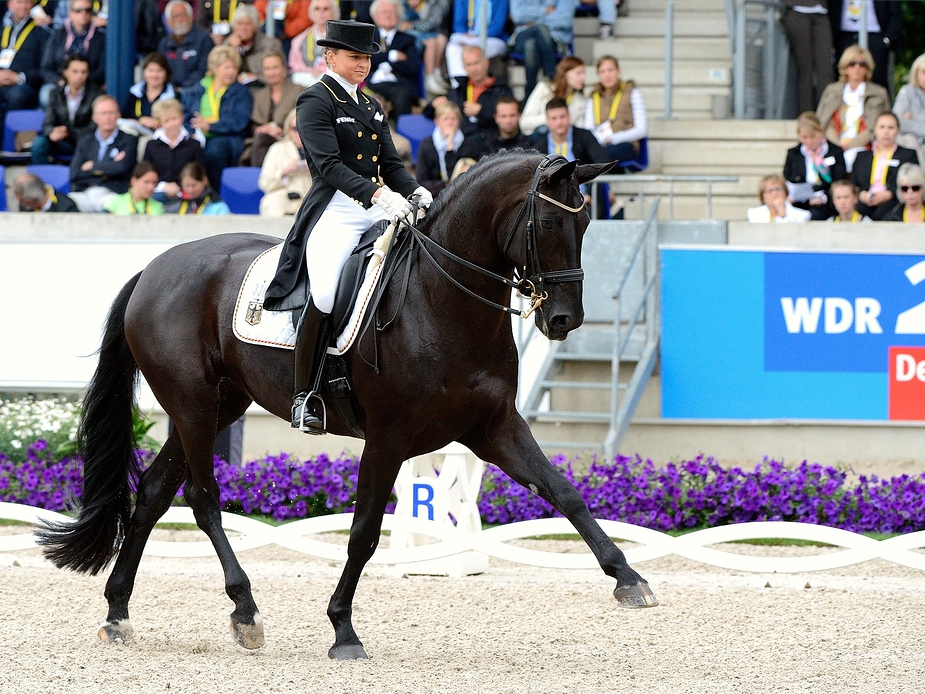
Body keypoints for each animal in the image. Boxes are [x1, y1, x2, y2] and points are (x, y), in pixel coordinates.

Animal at [36, 151, 656, 656]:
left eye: (587, 223)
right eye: (549, 222)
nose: (564, 319)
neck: (443, 300)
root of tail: (155, 268)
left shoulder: (495, 428)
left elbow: (564, 493)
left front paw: (629, 579)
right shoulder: (388, 438)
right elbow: (363, 534)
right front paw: (343, 630)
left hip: (217, 406)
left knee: (153, 494)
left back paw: (118, 614)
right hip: (191, 404)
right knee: (202, 499)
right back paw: (244, 611)